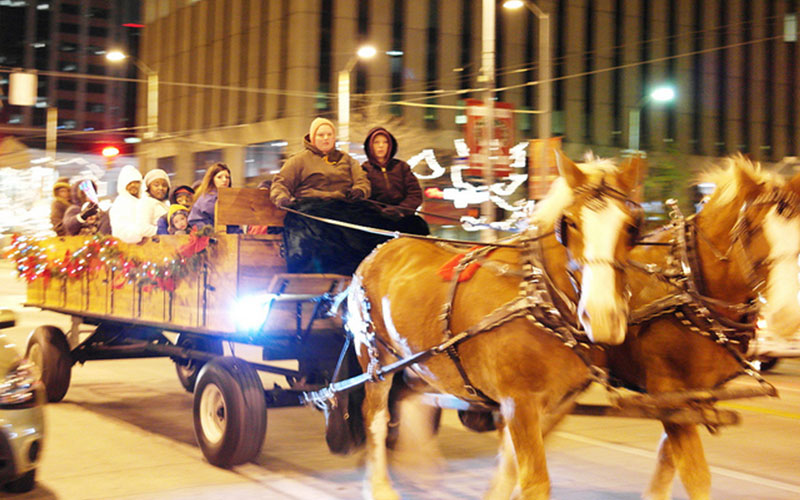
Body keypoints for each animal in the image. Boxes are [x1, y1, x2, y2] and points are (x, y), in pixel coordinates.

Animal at [348, 153, 644, 500]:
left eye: (631, 226)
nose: (601, 315)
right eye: (569, 222)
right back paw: (380, 485)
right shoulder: (519, 402)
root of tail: (379, 250)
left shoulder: (556, 406)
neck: (538, 298)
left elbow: (508, 471)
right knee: (377, 417)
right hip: (376, 361)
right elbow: (534, 481)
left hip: (422, 362)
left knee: (409, 403)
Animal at [604, 157, 800, 500]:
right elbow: (695, 474)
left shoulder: (697, 394)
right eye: (750, 227)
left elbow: (668, 460)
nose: (787, 315)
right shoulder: (668, 389)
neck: (690, 281)